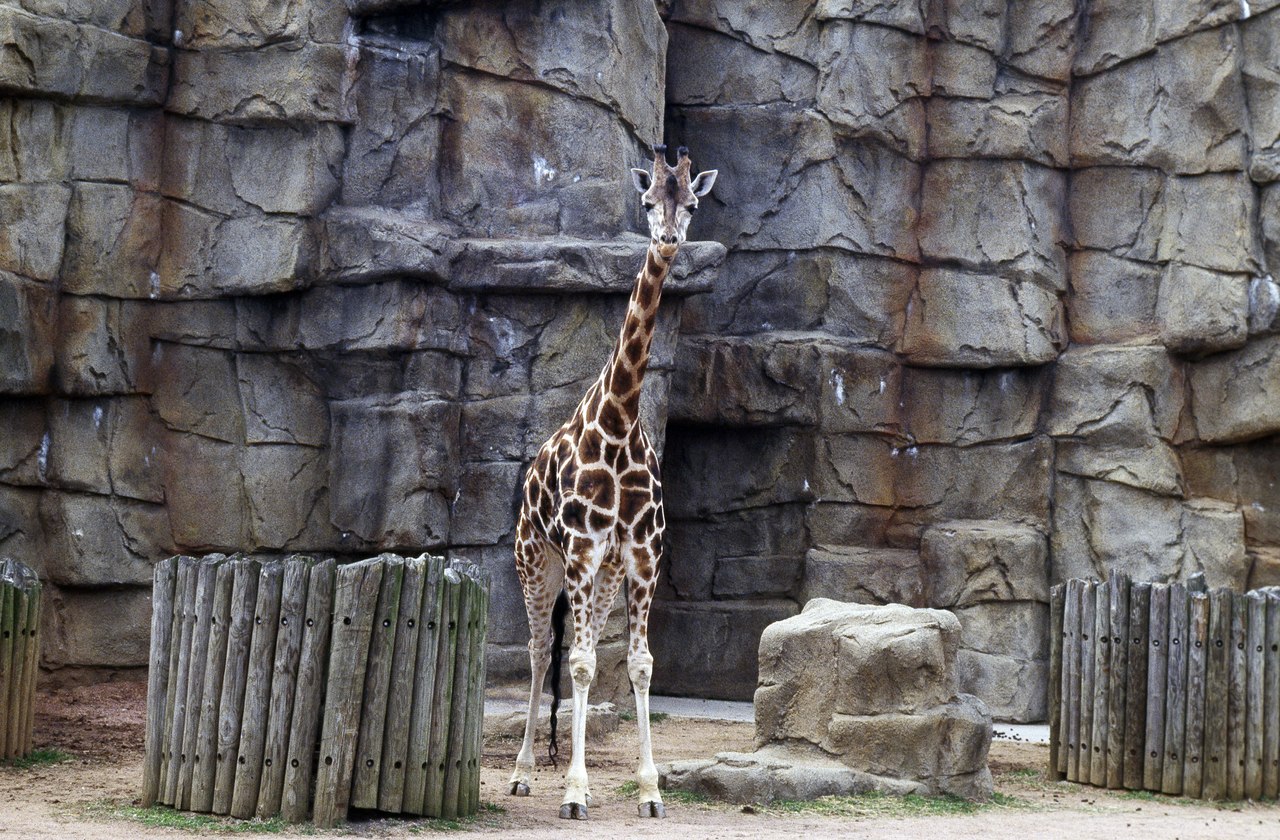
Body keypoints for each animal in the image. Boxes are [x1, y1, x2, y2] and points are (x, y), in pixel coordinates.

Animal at [506, 145, 717, 820]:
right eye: (648, 201)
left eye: (692, 204)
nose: (669, 239)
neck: (621, 425)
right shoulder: (577, 550)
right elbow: (574, 662)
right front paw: (574, 791)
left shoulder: (641, 554)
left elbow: (639, 664)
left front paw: (650, 790)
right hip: (536, 560)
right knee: (539, 651)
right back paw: (524, 773)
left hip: (603, 576)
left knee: (588, 646)